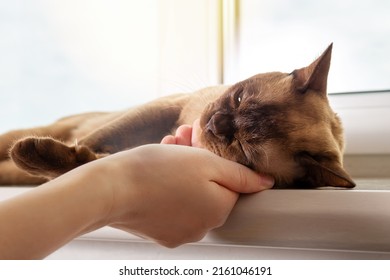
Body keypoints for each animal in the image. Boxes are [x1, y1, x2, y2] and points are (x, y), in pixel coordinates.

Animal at [0, 43, 354, 188]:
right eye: (238, 97)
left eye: (243, 148)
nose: (215, 123)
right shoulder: (165, 108)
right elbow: (93, 141)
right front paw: (46, 154)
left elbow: (88, 162)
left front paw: (47, 158)